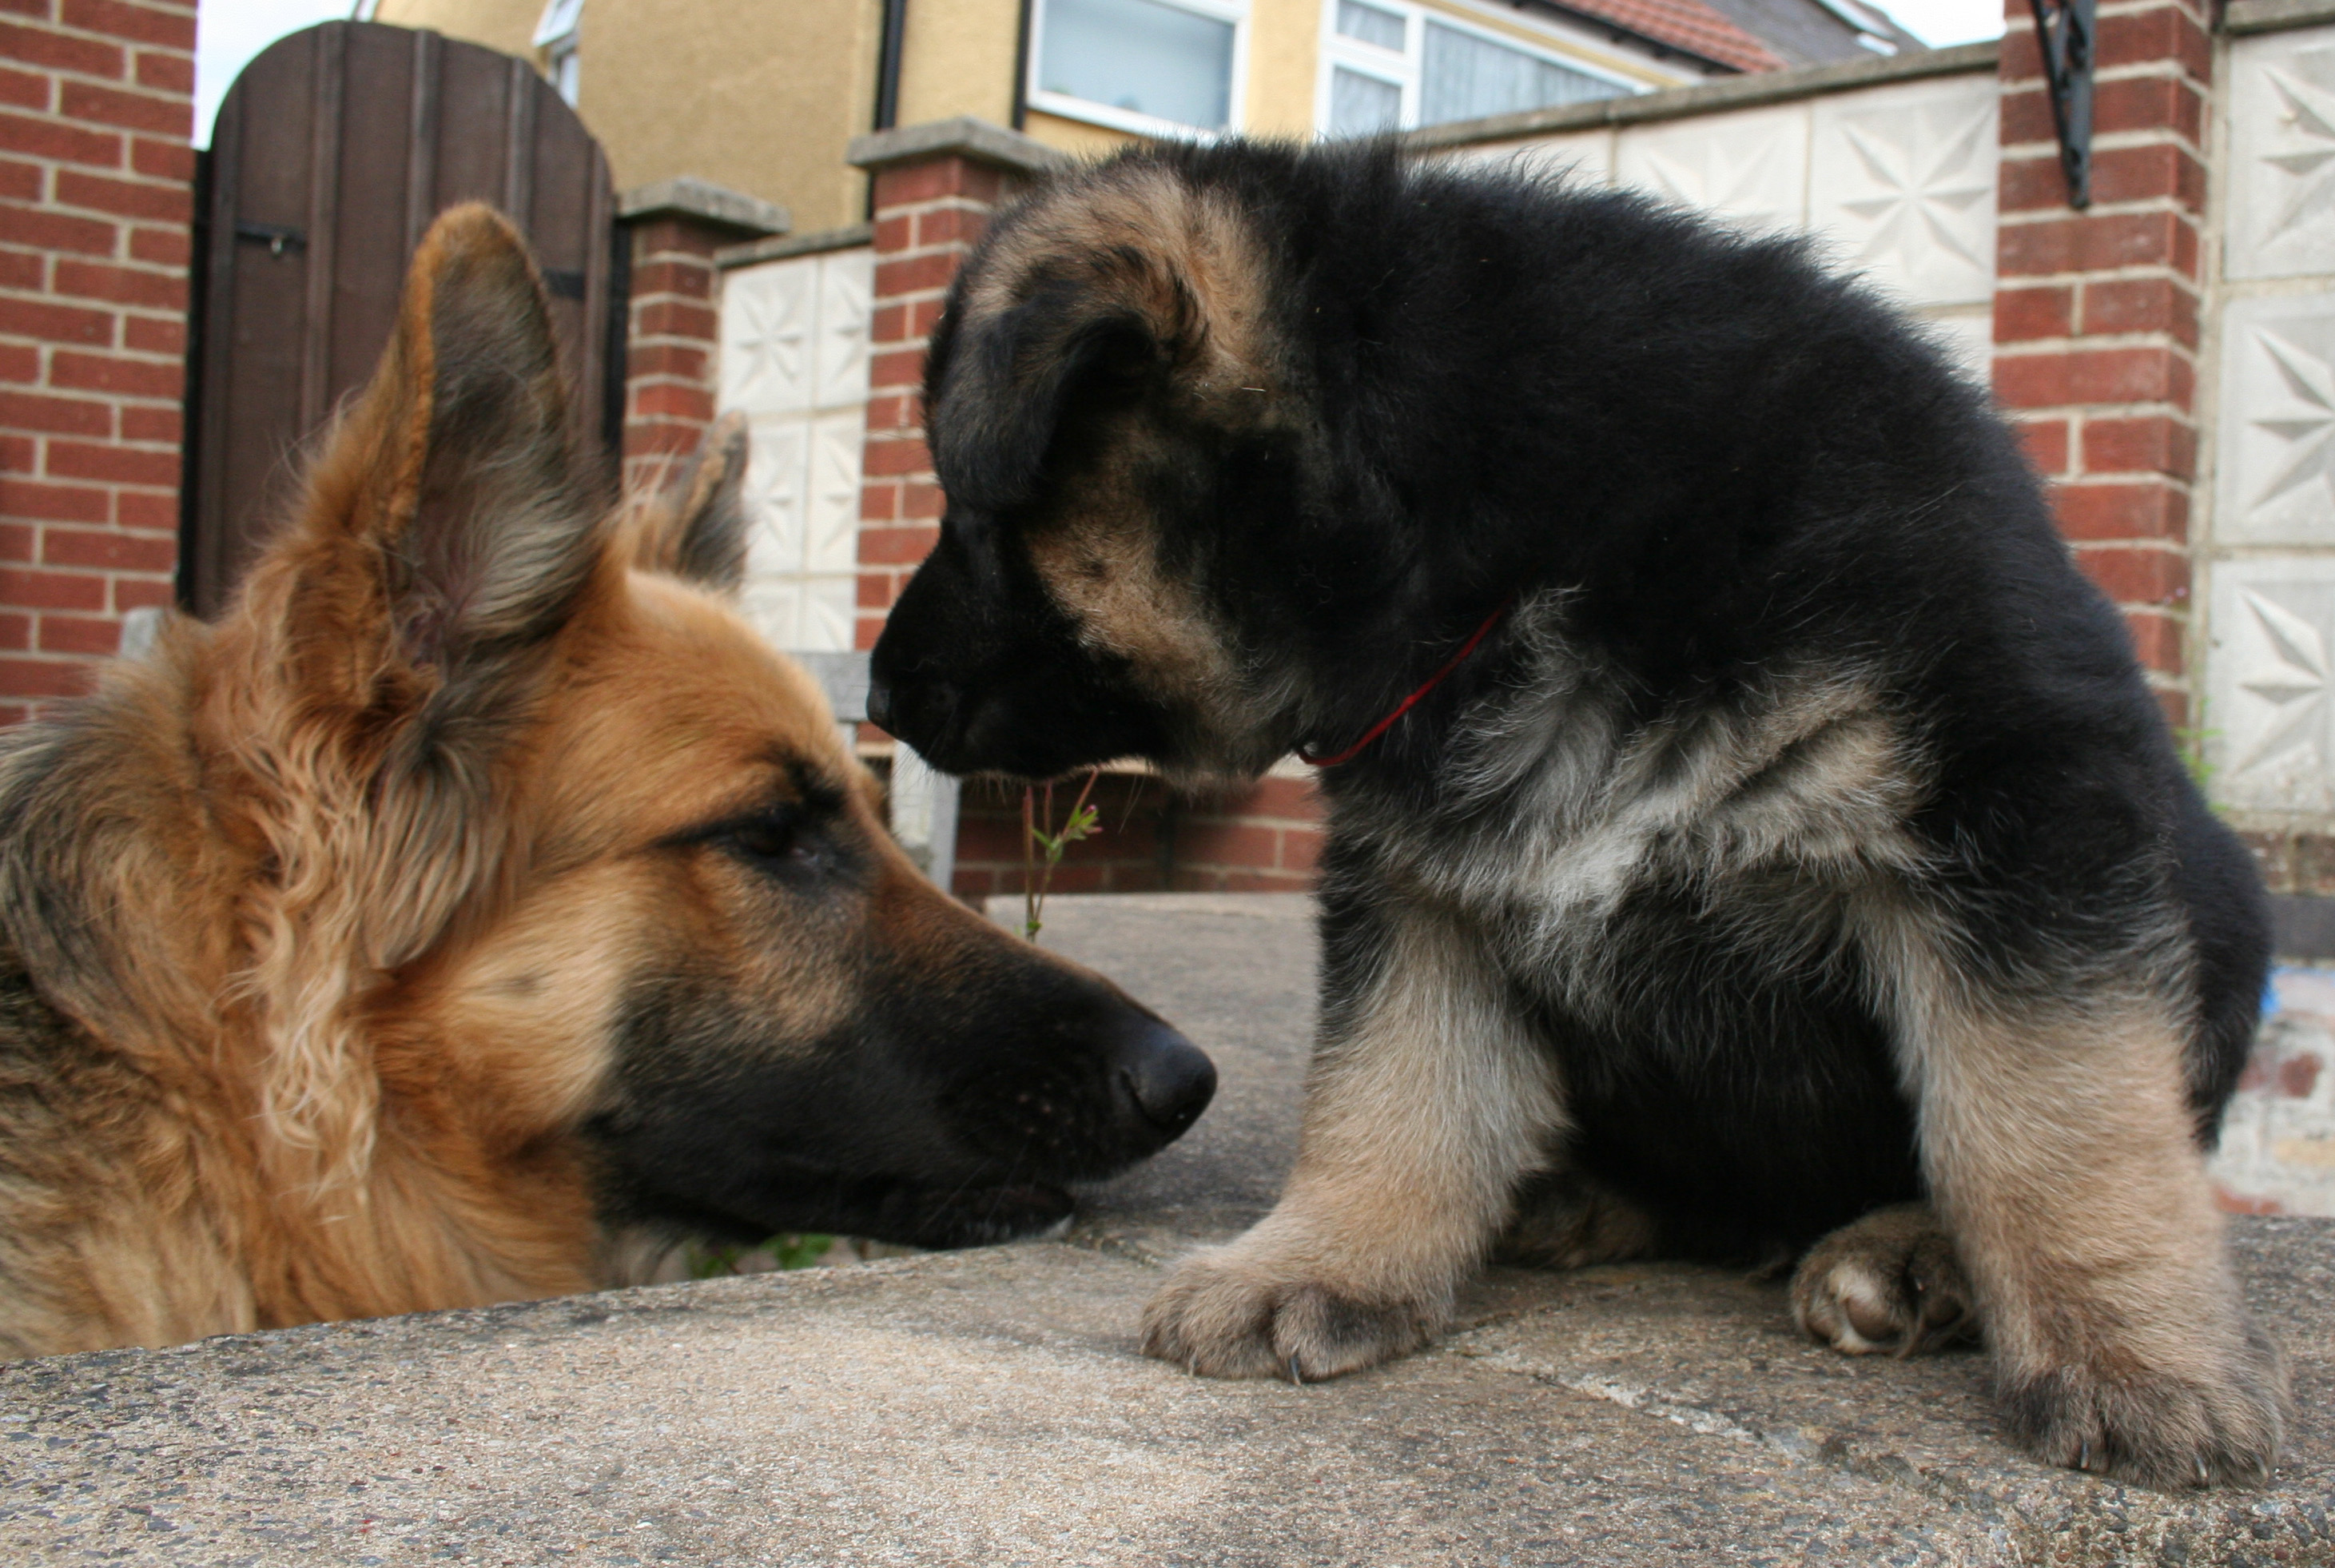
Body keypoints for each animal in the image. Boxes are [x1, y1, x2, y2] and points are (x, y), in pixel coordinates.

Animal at [868, 141, 2288, 1486]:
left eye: (971, 516)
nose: (878, 694)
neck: (1486, 527)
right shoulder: (1419, 886)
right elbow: (1389, 1083)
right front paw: (1319, 1259)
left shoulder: (2017, 818)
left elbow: (2049, 1112)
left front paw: (2127, 1349)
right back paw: (1568, 1197)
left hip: (2217, 913)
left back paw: (1907, 1253)